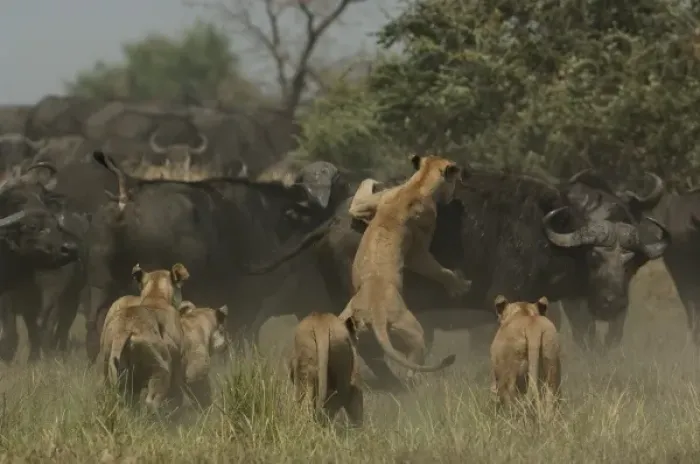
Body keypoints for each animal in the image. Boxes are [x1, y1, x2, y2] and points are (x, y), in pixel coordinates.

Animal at [97, 263, 190, 411]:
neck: (155, 296)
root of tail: (124, 330)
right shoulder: (178, 361)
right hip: (161, 371)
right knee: (151, 402)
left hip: (105, 369)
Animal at [339, 154, 471, 375]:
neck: (419, 183)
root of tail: (375, 315)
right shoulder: (418, 251)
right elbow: (440, 271)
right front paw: (459, 286)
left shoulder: (363, 205)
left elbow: (361, 193)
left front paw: (373, 180)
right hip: (412, 329)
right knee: (414, 362)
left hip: (344, 318)